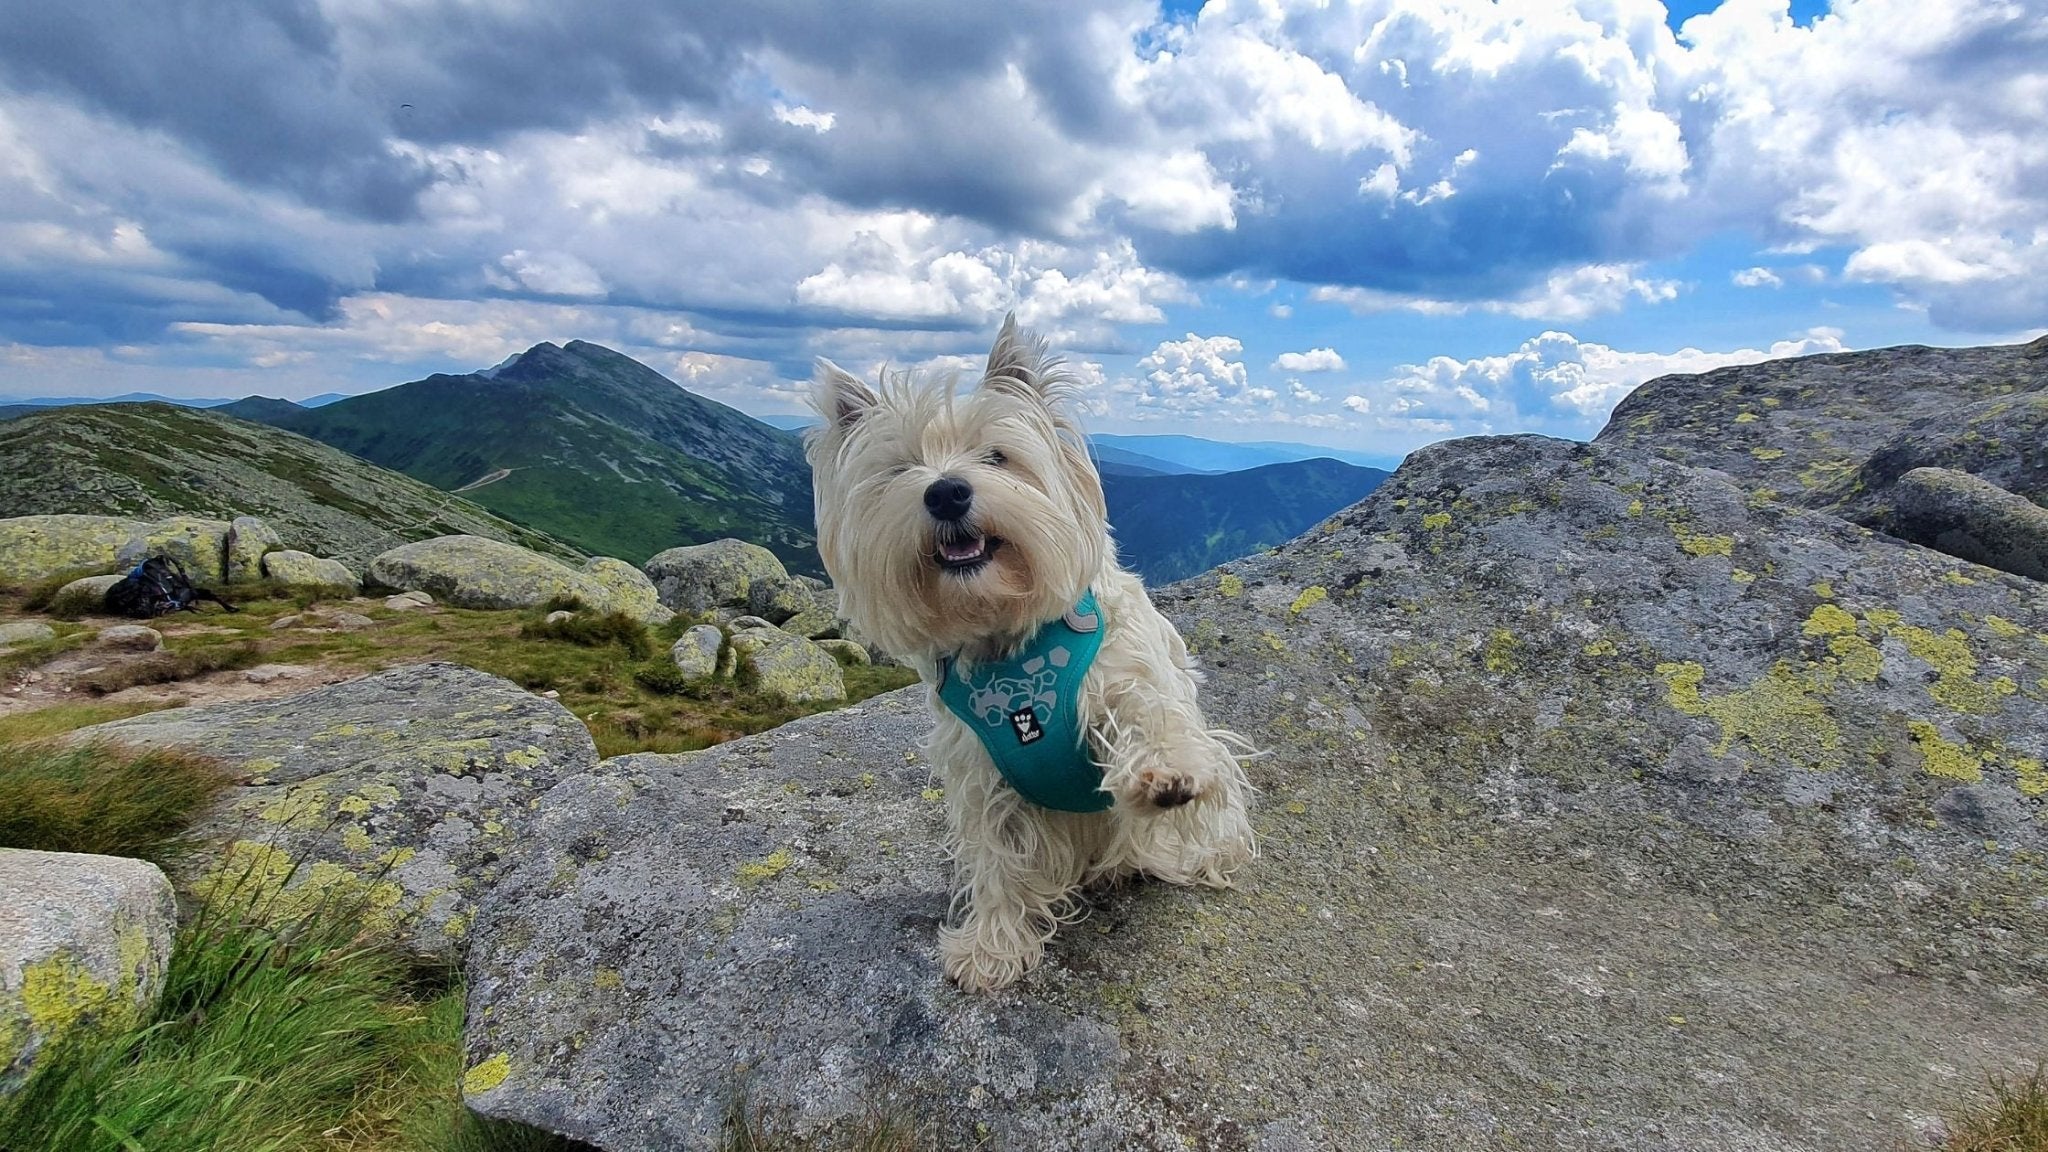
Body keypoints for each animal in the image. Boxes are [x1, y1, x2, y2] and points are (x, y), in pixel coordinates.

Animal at [806, 313, 1253, 988]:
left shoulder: (1128, 679)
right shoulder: (983, 774)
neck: (1008, 643)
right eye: (903, 468)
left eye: (997, 455)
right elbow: (999, 859)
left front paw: (1167, 773)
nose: (946, 493)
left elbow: (1150, 714)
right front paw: (991, 945)